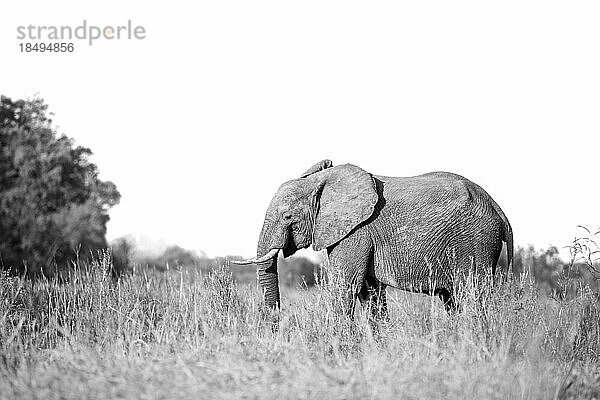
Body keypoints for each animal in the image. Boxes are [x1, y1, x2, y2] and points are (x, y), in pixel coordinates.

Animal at [232, 160, 512, 318]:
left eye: (288, 216)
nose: (275, 328)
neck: (323, 182)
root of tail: (500, 212)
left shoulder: (357, 232)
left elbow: (345, 287)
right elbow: (371, 292)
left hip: (476, 242)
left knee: (472, 295)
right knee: (452, 300)